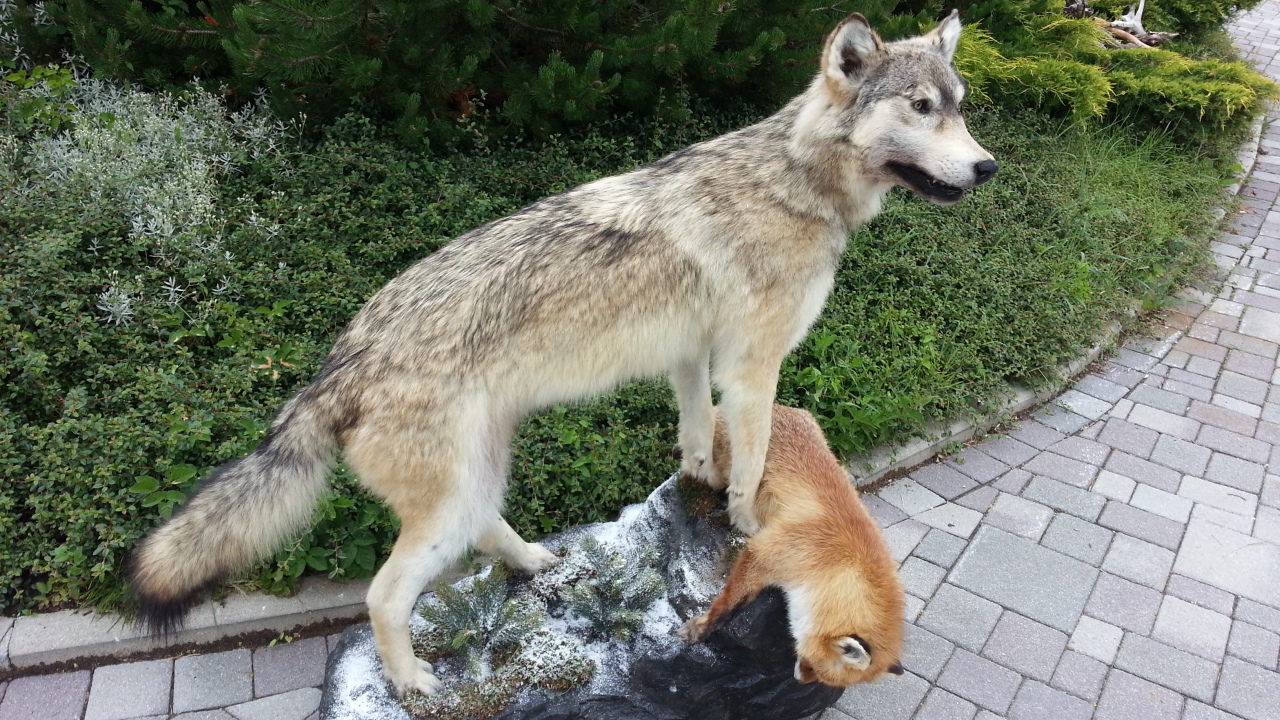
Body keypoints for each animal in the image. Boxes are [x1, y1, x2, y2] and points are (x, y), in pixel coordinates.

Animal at [679, 405, 905, 687]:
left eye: (821, 677)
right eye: (816, 667)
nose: (799, 679)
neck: (835, 567)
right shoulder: (766, 551)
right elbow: (729, 603)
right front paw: (702, 628)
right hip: (721, 467)